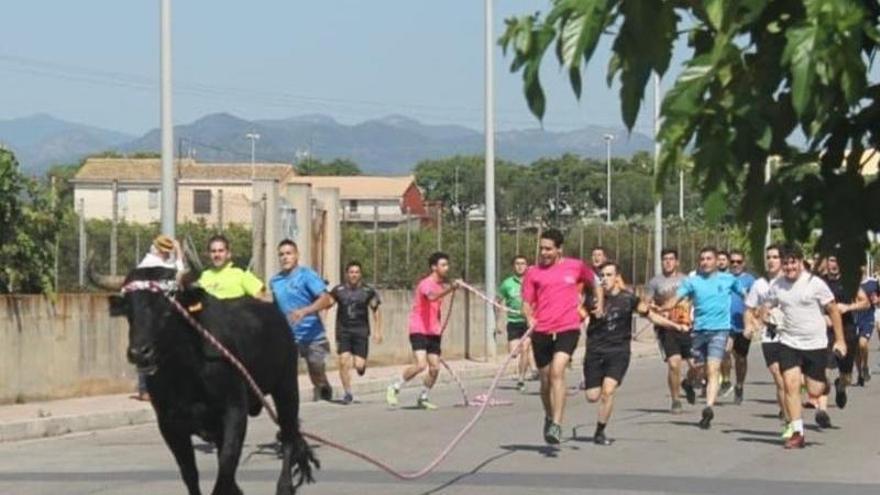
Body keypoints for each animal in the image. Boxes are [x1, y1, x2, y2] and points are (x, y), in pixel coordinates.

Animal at [106, 268, 318, 495]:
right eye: (129, 308)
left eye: (168, 307)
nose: (139, 352)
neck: (185, 370)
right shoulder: (169, 423)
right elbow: (190, 472)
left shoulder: (234, 411)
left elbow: (226, 466)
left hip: (287, 388)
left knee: (288, 437)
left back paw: (284, 486)